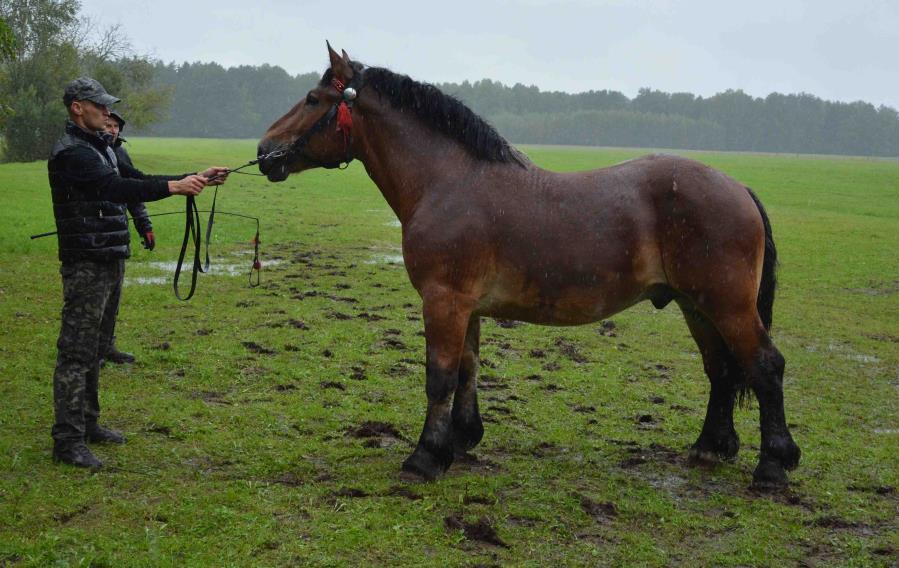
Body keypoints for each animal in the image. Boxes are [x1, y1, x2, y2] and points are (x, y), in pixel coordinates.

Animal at [258, 44, 800, 488]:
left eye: (312, 99)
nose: (264, 152)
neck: (448, 182)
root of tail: (737, 186)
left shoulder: (443, 300)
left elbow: (439, 375)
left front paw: (425, 457)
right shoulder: (466, 307)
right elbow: (467, 370)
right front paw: (461, 440)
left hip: (727, 305)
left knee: (764, 366)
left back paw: (773, 465)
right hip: (696, 305)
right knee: (721, 369)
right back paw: (710, 447)